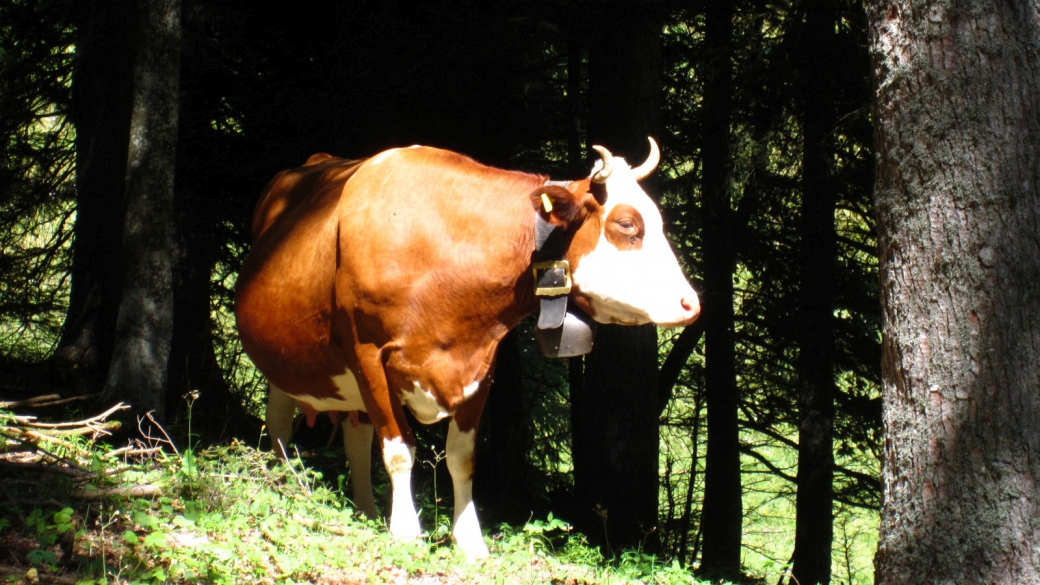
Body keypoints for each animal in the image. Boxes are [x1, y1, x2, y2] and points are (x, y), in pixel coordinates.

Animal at [236, 137, 698, 553]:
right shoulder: (368, 354)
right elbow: (399, 450)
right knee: (279, 424)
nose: (690, 303)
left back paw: (366, 510)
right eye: (627, 225)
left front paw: (469, 540)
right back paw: (289, 488)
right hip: (286, 362)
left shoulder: (481, 366)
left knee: (355, 432)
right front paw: (406, 532)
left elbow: (461, 457)